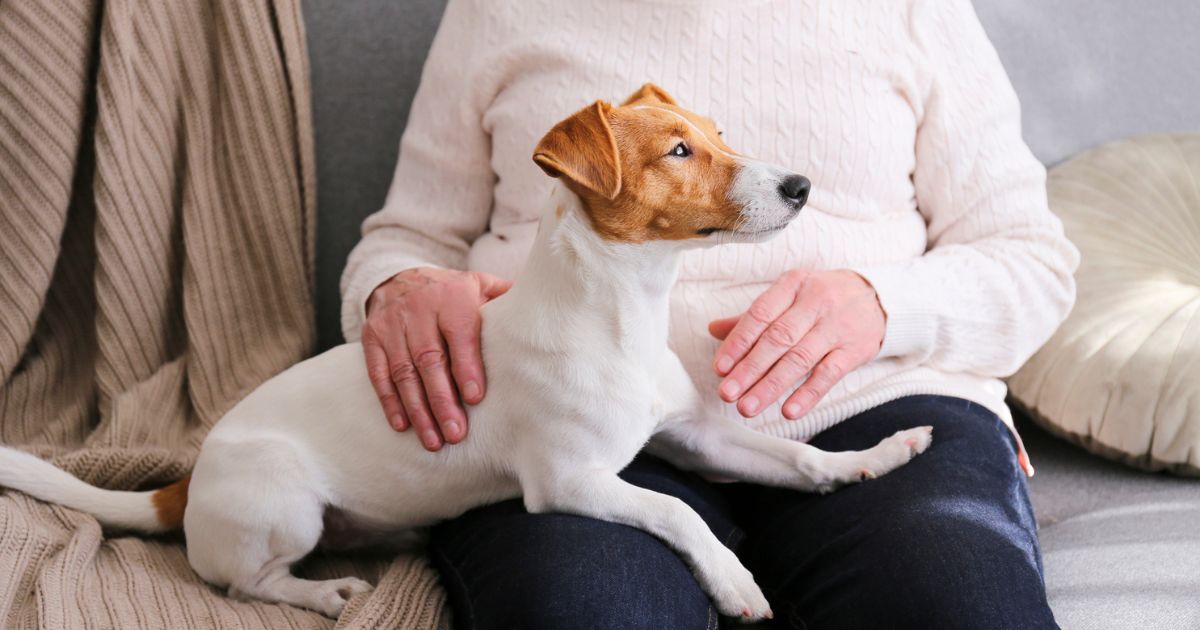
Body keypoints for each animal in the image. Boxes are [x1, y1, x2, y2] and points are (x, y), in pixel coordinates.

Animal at [0, 83, 931, 619]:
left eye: (720, 132)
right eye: (678, 150)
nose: (802, 186)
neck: (619, 314)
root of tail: (184, 486)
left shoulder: (693, 435)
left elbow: (792, 457)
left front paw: (873, 457)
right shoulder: (571, 484)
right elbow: (679, 511)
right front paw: (735, 581)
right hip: (283, 503)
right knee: (242, 583)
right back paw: (326, 591)